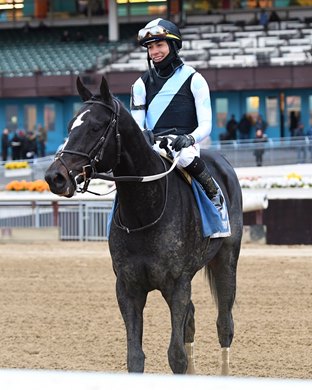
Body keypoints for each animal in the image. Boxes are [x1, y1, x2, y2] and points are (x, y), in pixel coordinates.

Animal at [45, 77, 243, 374]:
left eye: (95, 127)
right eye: (69, 126)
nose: (54, 176)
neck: (144, 212)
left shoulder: (177, 284)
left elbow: (176, 356)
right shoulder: (128, 287)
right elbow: (135, 356)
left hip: (226, 259)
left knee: (224, 324)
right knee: (192, 320)